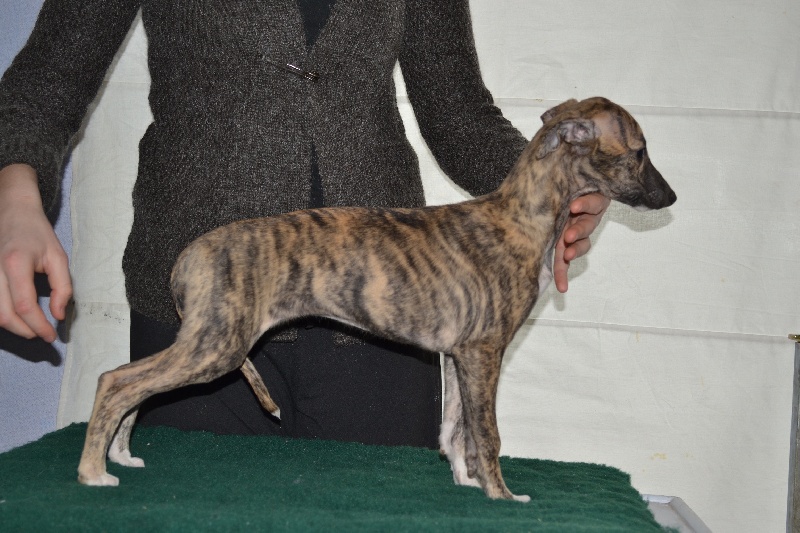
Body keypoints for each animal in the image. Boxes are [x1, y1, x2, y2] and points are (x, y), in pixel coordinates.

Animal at [77, 97, 676, 502]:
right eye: (640, 151)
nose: (671, 198)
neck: (519, 216)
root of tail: (189, 255)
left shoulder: (458, 355)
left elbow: (455, 428)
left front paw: (464, 483)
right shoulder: (484, 352)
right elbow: (487, 433)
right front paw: (502, 497)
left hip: (207, 341)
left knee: (136, 384)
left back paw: (121, 455)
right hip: (218, 344)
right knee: (116, 381)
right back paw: (93, 473)